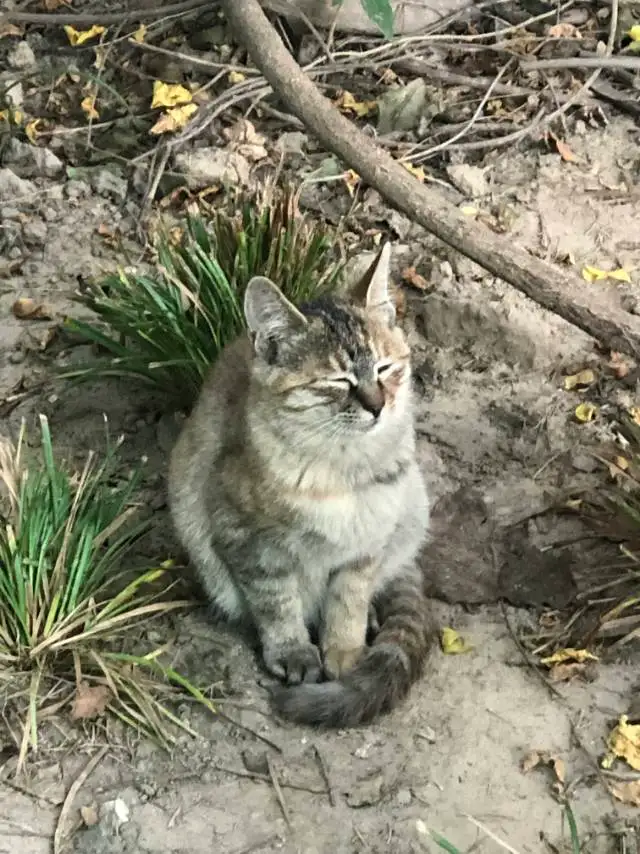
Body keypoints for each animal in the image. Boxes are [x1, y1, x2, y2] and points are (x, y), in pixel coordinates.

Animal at [168, 242, 432, 728]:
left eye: (385, 368)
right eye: (338, 381)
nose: (378, 407)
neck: (342, 471)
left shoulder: (368, 540)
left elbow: (349, 598)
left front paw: (346, 652)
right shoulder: (245, 538)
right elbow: (275, 600)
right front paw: (293, 650)